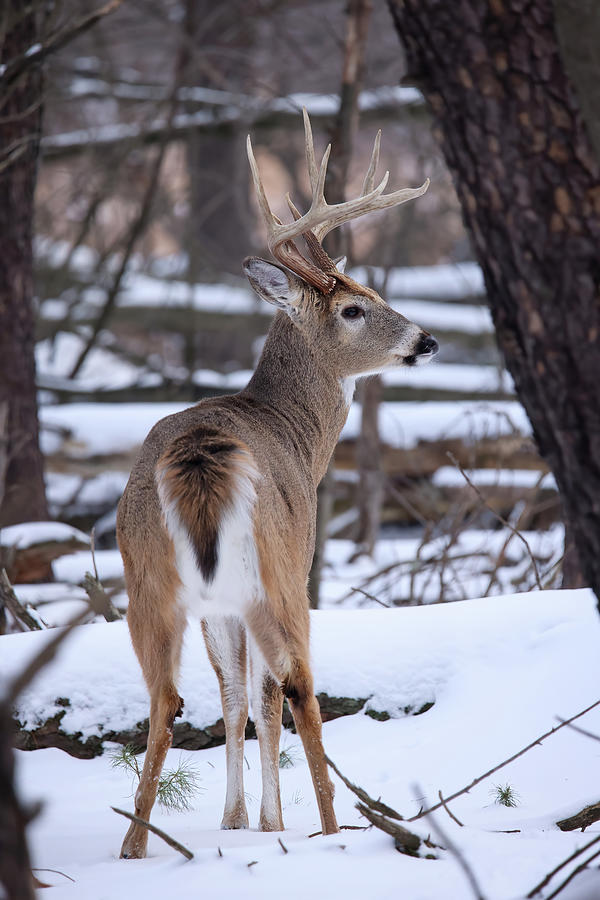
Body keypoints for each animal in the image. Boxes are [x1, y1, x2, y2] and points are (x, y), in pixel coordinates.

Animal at [117, 107, 438, 856]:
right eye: (353, 308)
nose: (427, 340)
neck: (297, 433)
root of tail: (200, 457)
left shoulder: (218, 604)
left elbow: (235, 698)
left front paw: (237, 823)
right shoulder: (289, 558)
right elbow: (266, 698)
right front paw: (272, 825)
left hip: (147, 579)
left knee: (166, 700)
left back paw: (135, 848)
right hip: (278, 569)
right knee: (299, 689)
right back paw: (335, 830)